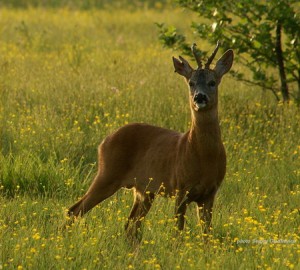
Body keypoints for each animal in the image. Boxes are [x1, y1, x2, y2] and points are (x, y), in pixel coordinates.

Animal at [67, 42, 233, 238]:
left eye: (212, 82)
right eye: (191, 83)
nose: (199, 97)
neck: (204, 156)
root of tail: (104, 142)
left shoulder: (210, 193)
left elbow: (207, 235)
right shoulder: (180, 187)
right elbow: (178, 232)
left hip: (144, 190)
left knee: (131, 225)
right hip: (107, 173)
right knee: (74, 210)